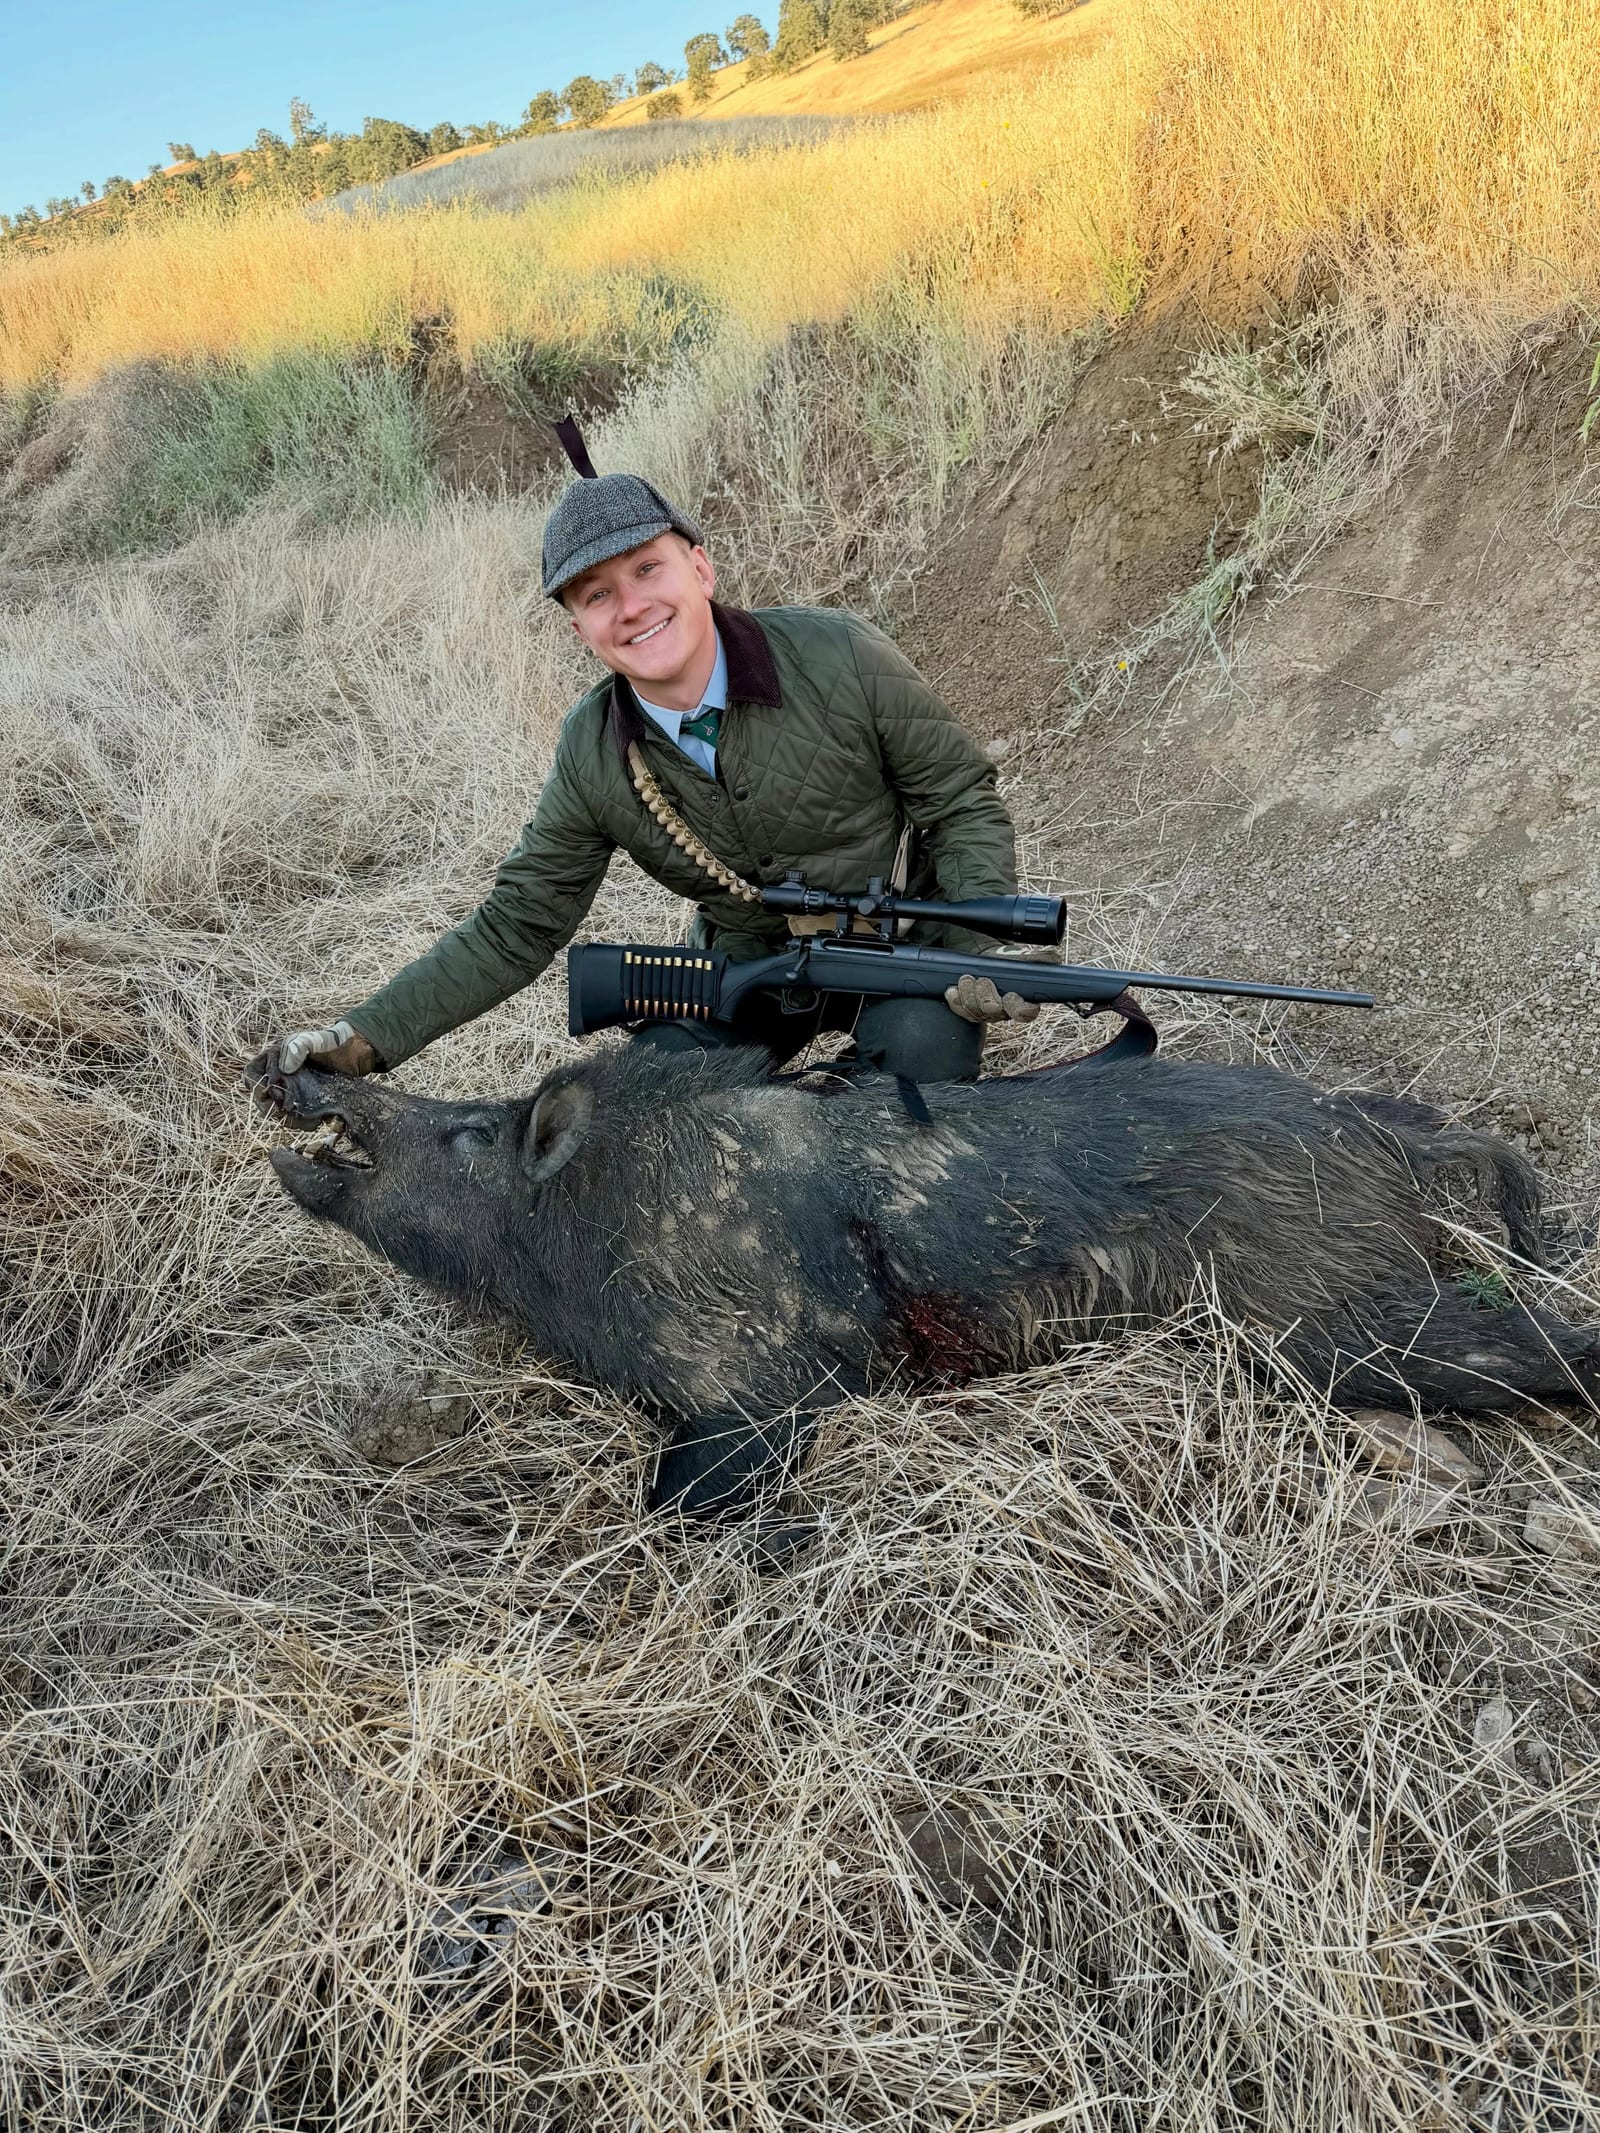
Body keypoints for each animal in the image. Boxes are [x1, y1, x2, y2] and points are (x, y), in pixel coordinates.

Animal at [257, 1044, 1600, 1514]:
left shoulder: (758, 1395)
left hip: (1333, 1315)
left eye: (471, 1132)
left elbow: (671, 1503)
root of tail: (1392, 1145)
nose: (293, 1068)